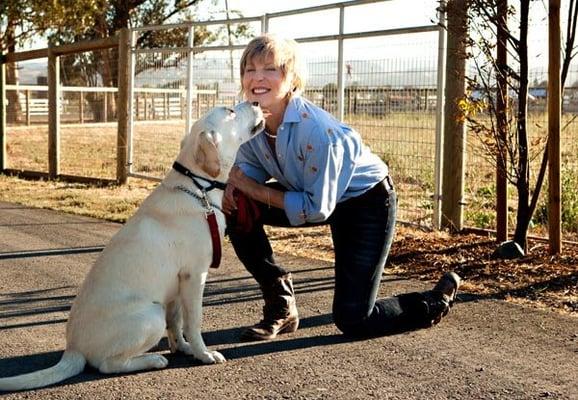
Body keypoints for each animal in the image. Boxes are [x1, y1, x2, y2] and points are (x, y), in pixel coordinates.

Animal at [0, 100, 264, 390]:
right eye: (230, 111)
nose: (256, 101)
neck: (198, 188)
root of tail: (73, 349)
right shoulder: (195, 276)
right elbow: (194, 322)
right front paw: (203, 354)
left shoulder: (176, 285)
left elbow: (177, 322)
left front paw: (183, 348)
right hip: (151, 314)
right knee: (107, 365)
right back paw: (153, 360)